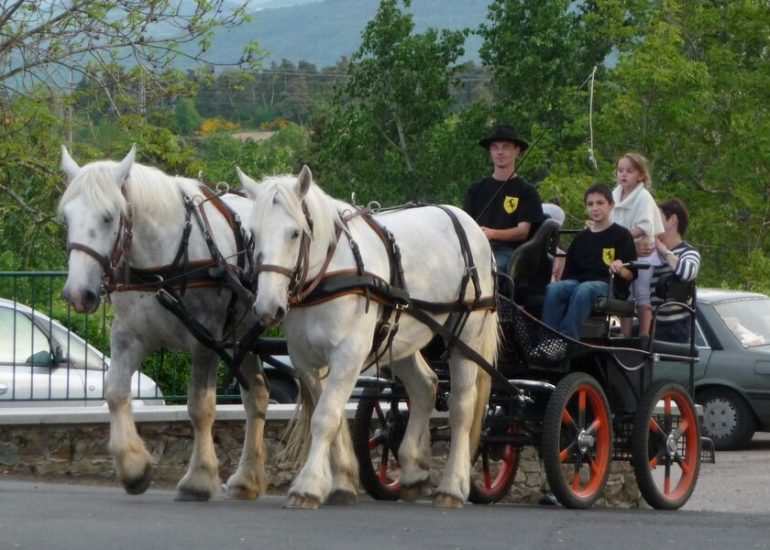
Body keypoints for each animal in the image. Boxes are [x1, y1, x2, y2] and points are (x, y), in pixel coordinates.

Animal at [57, 147, 268, 504]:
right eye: (67, 218)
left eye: (109, 217)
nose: (77, 294)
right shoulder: (128, 335)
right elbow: (115, 392)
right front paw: (133, 466)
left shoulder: (206, 339)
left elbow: (200, 407)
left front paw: (199, 478)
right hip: (244, 336)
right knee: (258, 397)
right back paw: (248, 478)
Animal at [238, 166, 498, 512]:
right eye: (253, 233)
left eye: (294, 233)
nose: (267, 307)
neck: (328, 273)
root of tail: (465, 220)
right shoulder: (306, 360)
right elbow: (330, 415)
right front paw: (340, 484)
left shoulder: (348, 354)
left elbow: (325, 417)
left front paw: (307, 487)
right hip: (402, 338)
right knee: (424, 387)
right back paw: (413, 472)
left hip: (466, 336)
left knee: (462, 407)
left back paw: (452, 488)